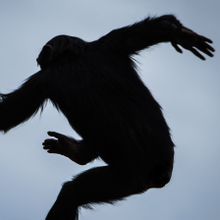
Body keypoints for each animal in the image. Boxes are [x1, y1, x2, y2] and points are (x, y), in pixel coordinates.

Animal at [0, 14, 213, 219]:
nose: (38, 56)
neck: (72, 57)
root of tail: (160, 174)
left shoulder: (41, 80)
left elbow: (9, 113)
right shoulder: (110, 42)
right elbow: (151, 30)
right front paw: (181, 35)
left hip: (128, 177)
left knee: (72, 193)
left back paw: (77, 155)